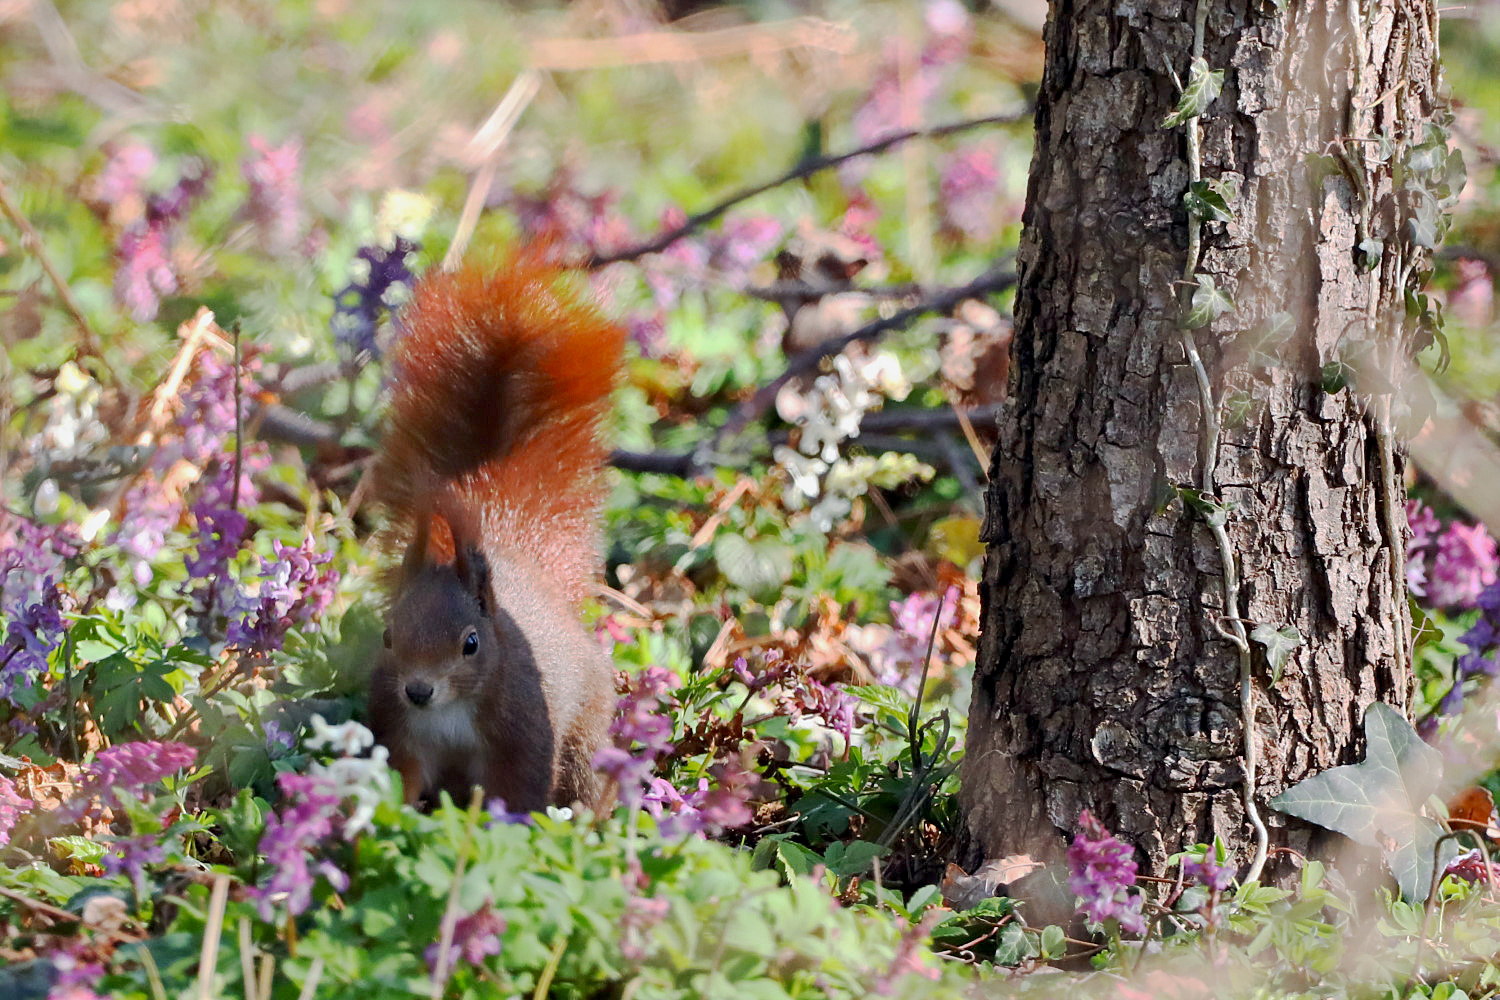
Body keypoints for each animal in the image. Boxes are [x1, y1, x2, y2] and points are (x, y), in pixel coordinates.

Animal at [366, 257, 624, 815]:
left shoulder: (521, 737)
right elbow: (402, 774)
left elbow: (516, 792)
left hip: (587, 728)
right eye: (388, 636)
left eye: (471, 642)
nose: (418, 691)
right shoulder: (400, 730)